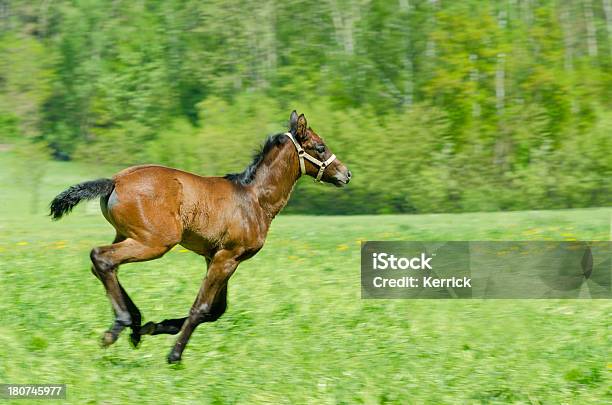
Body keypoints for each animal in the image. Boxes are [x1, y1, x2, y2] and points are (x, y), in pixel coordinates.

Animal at [50, 111, 352, 362]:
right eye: (320, 147)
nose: (346, 174)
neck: (254, 198)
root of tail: (115, 181)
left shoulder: (215, 257)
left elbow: (216, 310)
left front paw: (156, 327)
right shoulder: (227, 257)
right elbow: (203, 307)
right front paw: (174, 355)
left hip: (126, 235)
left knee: (103, 265)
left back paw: (136, 324)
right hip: (155, 242)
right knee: (102, 258)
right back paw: (121, 325)